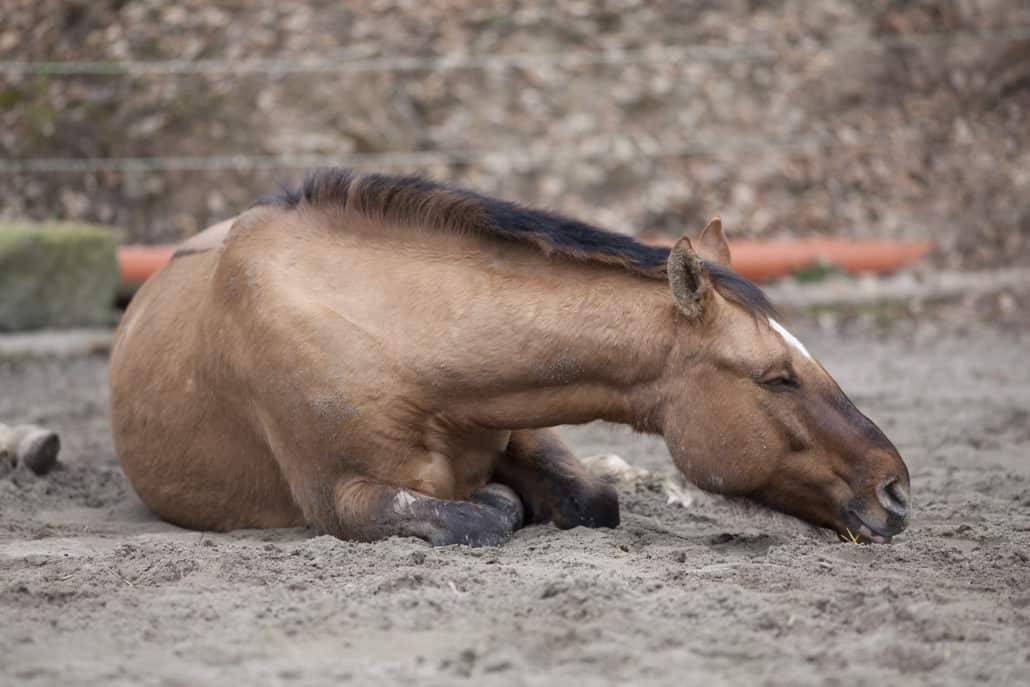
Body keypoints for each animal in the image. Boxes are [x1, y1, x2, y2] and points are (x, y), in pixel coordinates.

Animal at [109, 170, 910, 546]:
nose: (896, 490)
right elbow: (481, 514)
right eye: (776, 376)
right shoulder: (341, 498)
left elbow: (592, 499)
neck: (397, 337)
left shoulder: (524, 420)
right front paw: (501, 503)